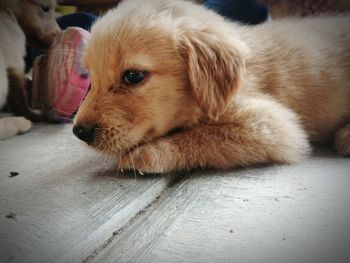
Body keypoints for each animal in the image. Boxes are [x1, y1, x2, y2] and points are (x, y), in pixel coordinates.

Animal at [0, 0, 59, 141]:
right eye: (45, 8)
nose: (59, 33)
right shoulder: (14, 59)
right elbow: (20, 100)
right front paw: (34, 115)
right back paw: (18, 123)